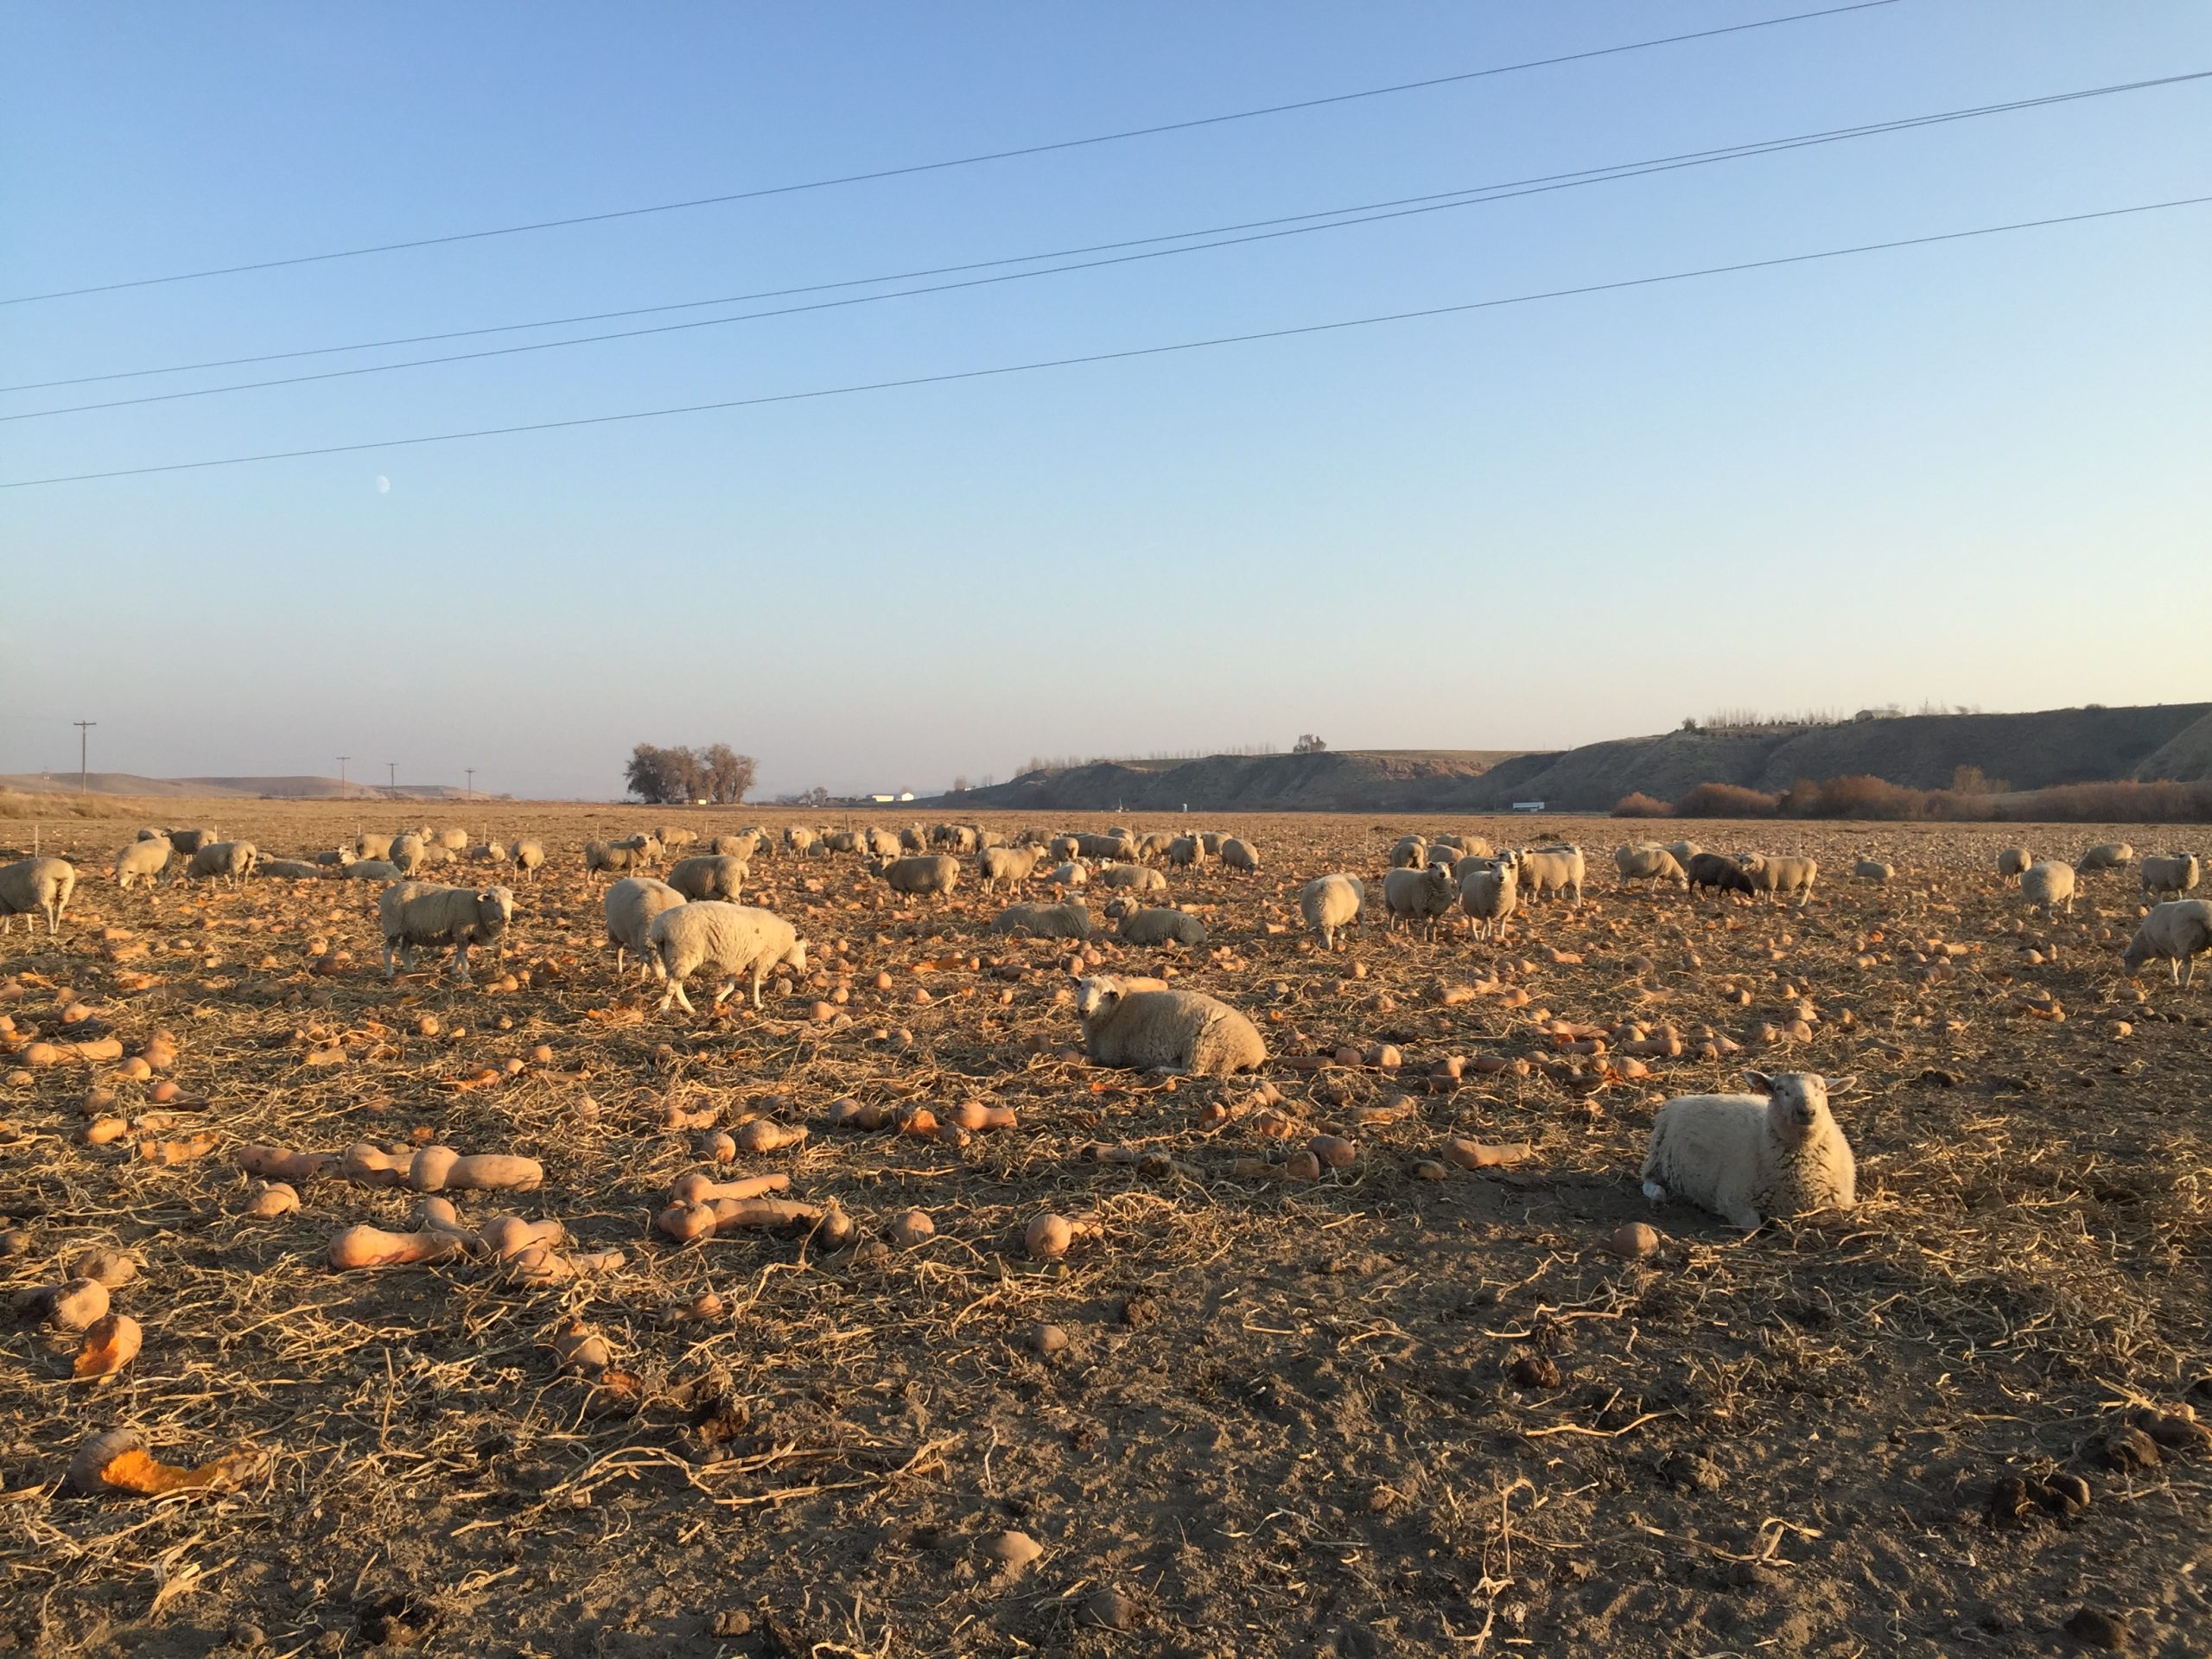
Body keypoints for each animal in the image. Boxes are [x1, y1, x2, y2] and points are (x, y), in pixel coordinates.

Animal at [378, 881, 513, 984]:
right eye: (494, 901)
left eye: (511, 900)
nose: (506, 918)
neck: (479, 908)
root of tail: (387, 893)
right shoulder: (461, 931)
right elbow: (463, 955)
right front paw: (466, 977)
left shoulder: (467, 936)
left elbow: (459, 954)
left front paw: (454, 972)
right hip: (393, 926)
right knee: (387, 950)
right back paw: (390, 973)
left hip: (410, 931)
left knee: (404, 951)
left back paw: (411, 971)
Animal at [647, 901, 806, 1014]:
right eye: (804, 948)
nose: (803, 973)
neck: (784, 942)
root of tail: (659, 929)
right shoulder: (761, 960)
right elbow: (755, 982)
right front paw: (758, 1004)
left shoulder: (736, 963)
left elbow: (731, 986)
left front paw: (717, 999)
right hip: (683, 955)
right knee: (672, 986)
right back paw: (664, 1010)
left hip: (671, 958)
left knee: (677, 985)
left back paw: (689, 1009)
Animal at [1070, 974, 1265, 1076]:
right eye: (1081, 988)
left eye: (1104, 993)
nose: (1083, 1010)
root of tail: (1256, 1053)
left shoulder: (1110, 1055)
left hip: (1203, 1045)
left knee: (1193, 1071)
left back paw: (1159, 1069)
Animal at [1640, 1070, 1857, 1232]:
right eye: (1780, 1089)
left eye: (1821, 1089)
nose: (1806, 1111)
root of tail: (1682, 1099)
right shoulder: (1733, 1200)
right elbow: (1753, 1226)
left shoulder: (1840, 1204)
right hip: (1658, 1158)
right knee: (1648, 1180)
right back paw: (1659, 1194)